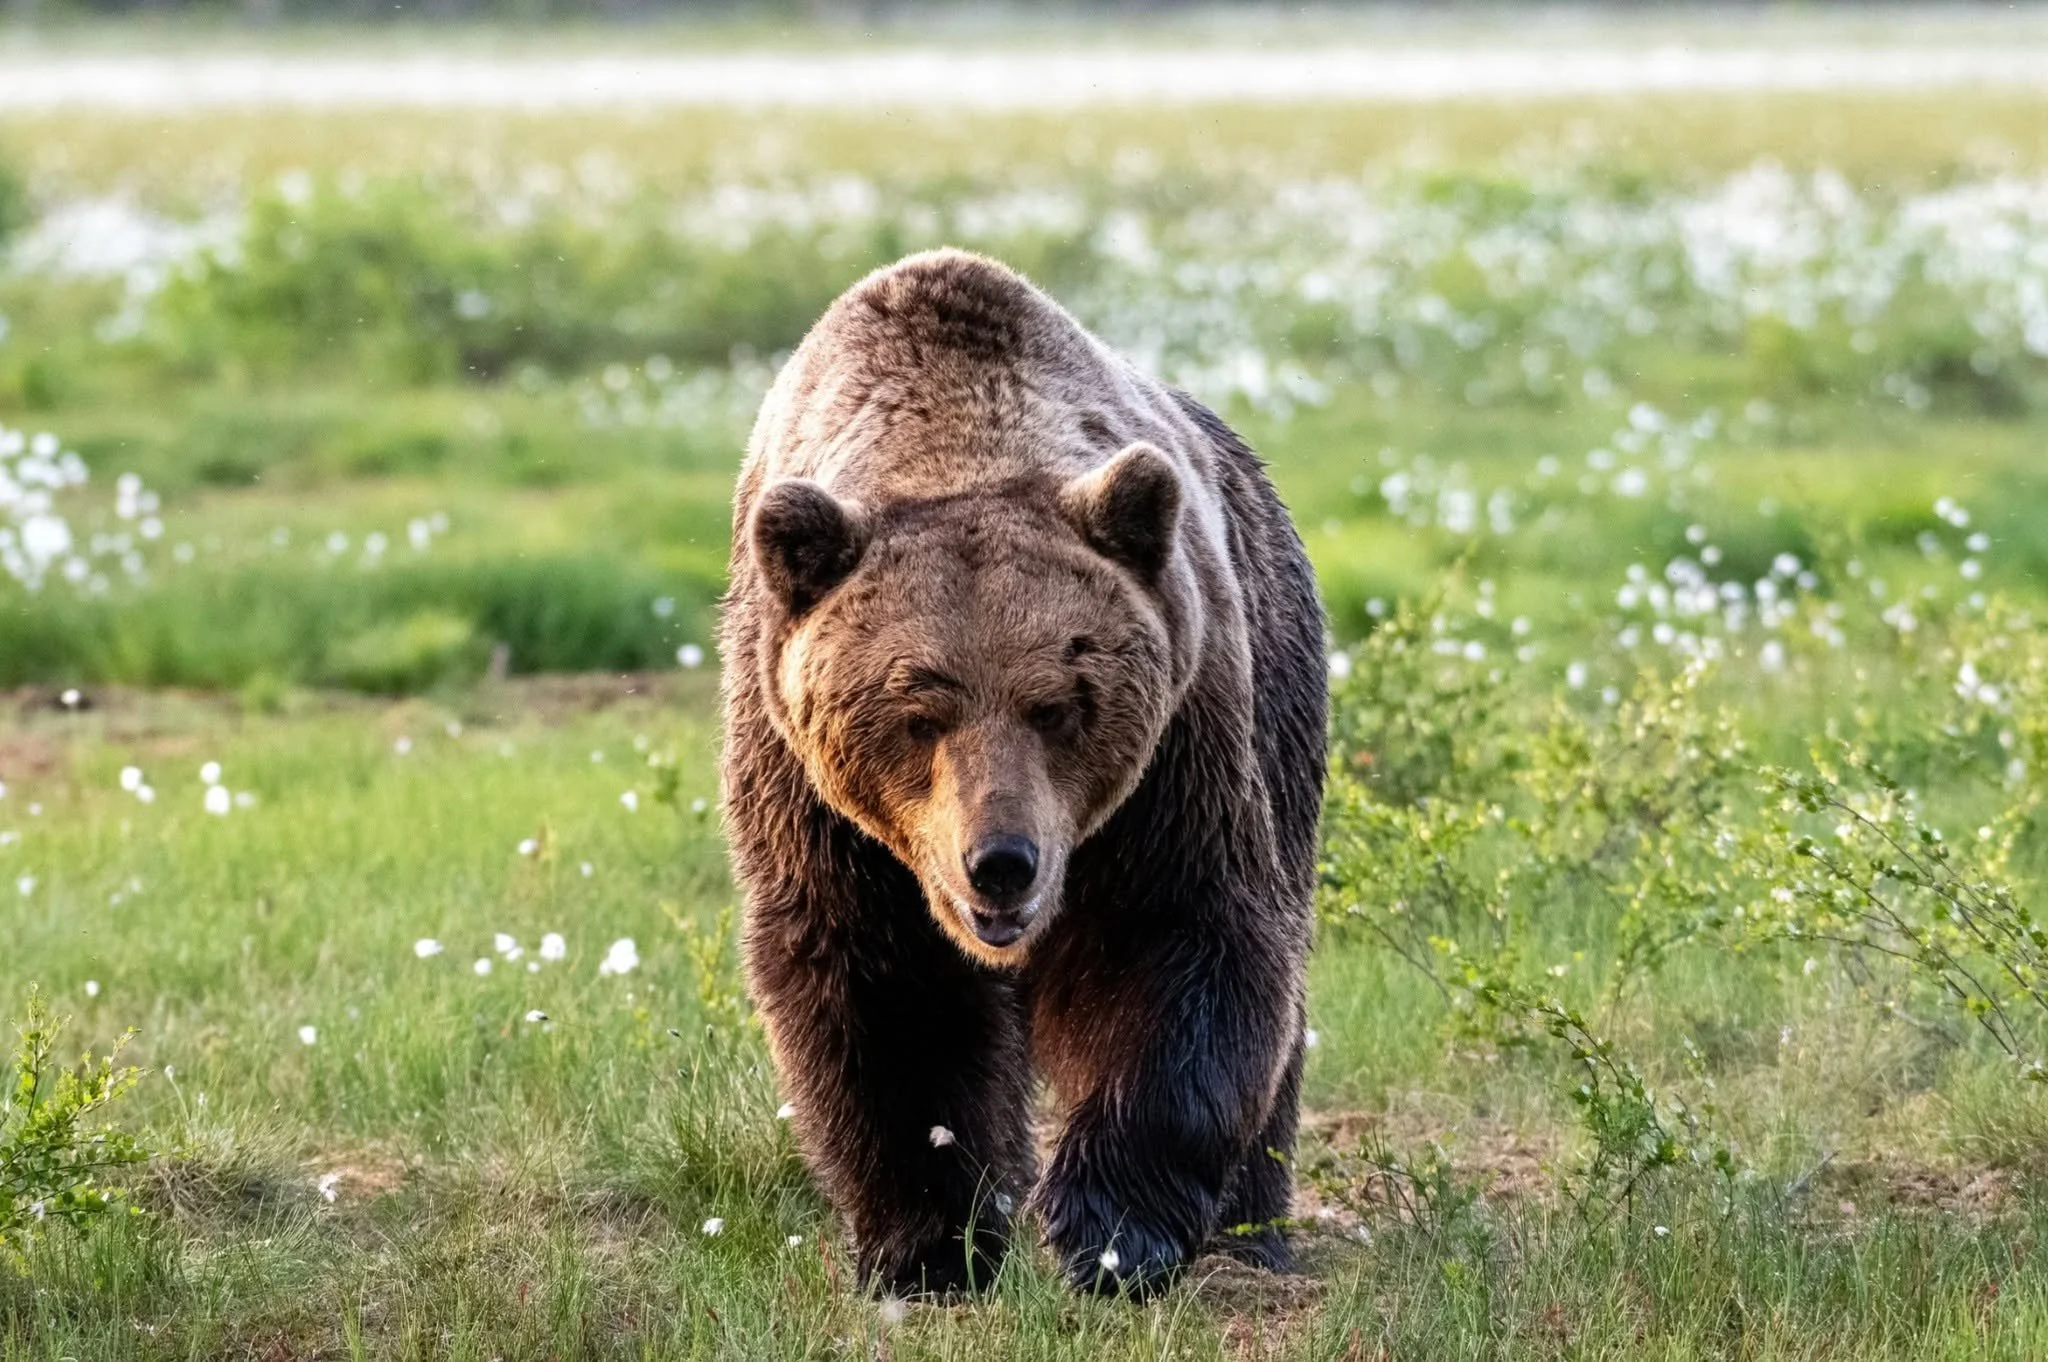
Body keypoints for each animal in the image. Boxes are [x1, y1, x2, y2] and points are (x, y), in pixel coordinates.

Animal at [718, 249, 1327, 1297]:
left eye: (1058, 704)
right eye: (918, 712)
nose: (1001, 862)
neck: (953, 438)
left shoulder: (1179, 752)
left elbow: (1179, 940)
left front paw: (1111, 1231)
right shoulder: (808, 790)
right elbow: (883, 989)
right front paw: (931, 1246)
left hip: (1280, 683)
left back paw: (1254, 1230)